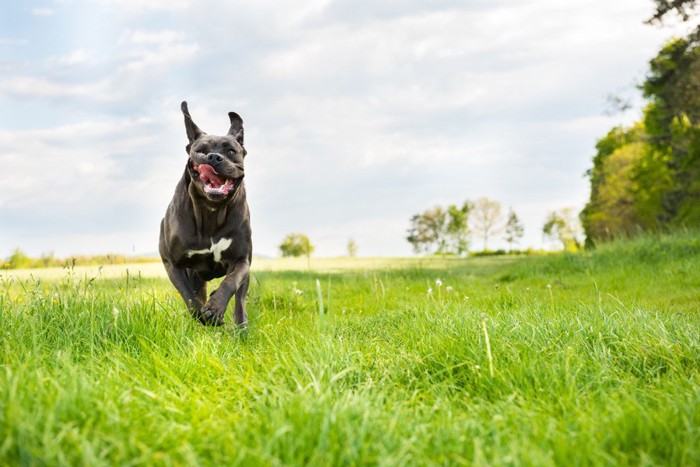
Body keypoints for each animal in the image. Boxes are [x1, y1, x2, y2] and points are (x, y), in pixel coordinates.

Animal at [160, 101, 253, 330]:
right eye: (200, 150)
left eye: (231, 151)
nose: (214, 157)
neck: (211, 209)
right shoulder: (172, 263)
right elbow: (190, 298)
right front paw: (203, 315)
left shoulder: (241, 259)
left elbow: (231, 282)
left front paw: (216, 307)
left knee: (240, 299)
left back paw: (241, 327)